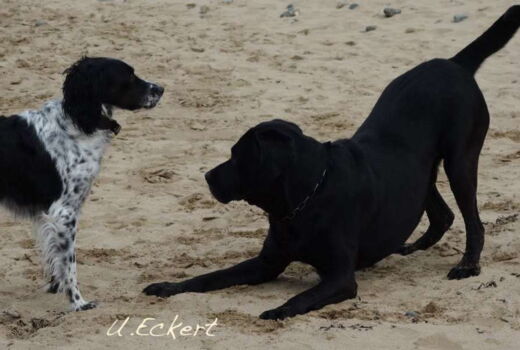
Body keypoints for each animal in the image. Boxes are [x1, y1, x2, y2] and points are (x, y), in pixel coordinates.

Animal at [0, 57, 162, 312]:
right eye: (128, 76)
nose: (161, 89)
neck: (76, 124)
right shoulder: (64, 212)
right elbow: (69, 264)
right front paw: (78, 302)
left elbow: (55, 257)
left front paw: (55, 287)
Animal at [143, 6, 520, 320]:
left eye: (237, 156)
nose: (207, 175)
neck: (304, 198)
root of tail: (455, 63)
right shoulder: (266, 263)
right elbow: (209, 277)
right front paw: (168, 286)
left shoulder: (340, 277)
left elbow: (302, 297)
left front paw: (278, 310)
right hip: (418, 174)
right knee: (442, 213)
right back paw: (412, 246)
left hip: (460, 161)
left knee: (473, 221)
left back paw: (468, 265)